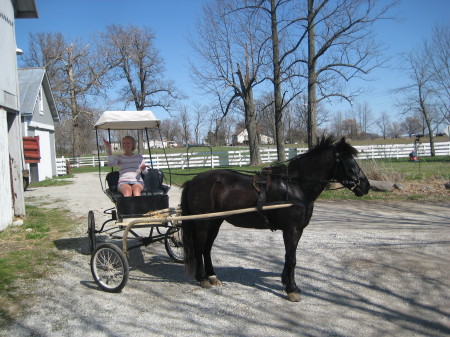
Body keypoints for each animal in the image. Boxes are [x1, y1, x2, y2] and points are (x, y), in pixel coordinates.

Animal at [181, 135, 370, 300]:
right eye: (349, 161)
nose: (366, 186)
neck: (296, 186)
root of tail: (193, 181)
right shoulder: (291, 230)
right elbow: (292, 259)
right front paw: (291, 289)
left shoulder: (297, 231)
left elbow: (289, 258)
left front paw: (288, 283)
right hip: (203, 223)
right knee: (199, 248)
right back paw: (203, 278)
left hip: (215, 222)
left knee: (207, 248)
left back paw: (212, 276)